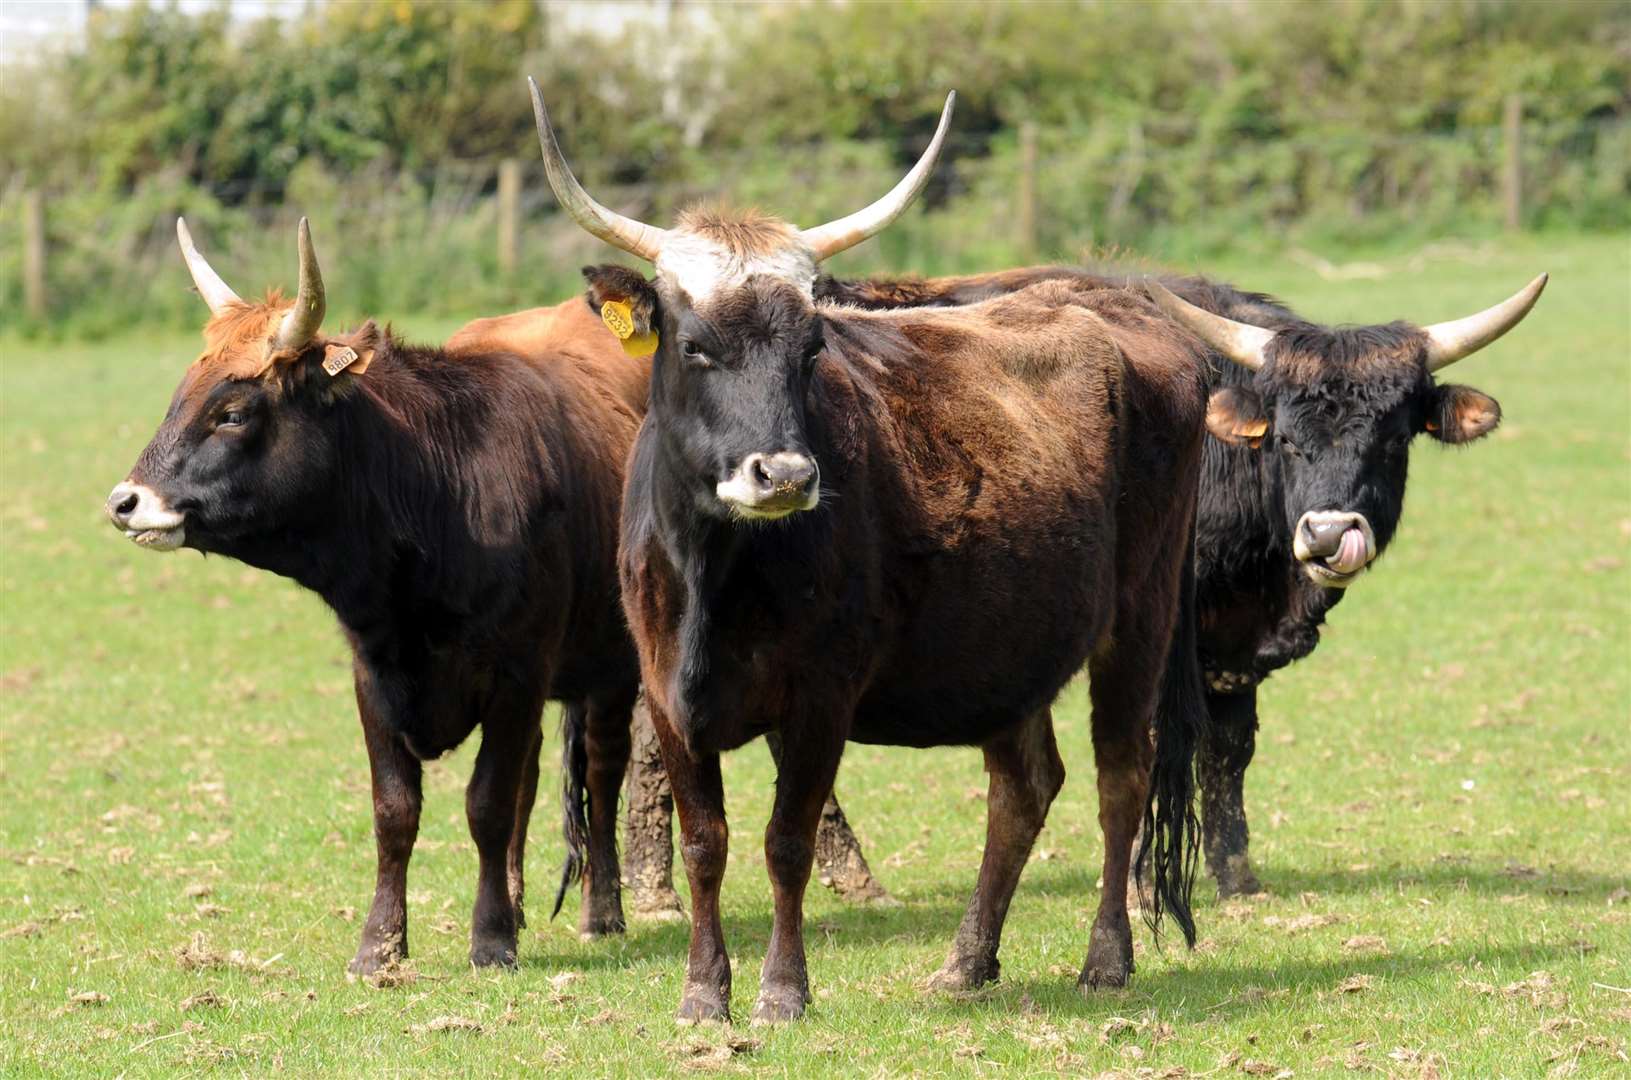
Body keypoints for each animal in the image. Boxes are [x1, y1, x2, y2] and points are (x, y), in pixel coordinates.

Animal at [100, 218, 649, 972]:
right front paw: (380, 945)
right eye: (180, 396)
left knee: (601, 770)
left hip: (613, 667)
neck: (442, 488)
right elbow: (396, 811)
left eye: (233, 411)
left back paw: (602, 911)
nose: (125, 502)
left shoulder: (517, 673)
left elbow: (486, 803)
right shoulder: (374, 676)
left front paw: (490, 941)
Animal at [525, 82, 1213, 1024]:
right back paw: (967, 960)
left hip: (1140, 617)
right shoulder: (666, 695)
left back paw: (1104, 958)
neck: (715, 572)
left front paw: (782, 991)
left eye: (811, 348)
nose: (782, 473)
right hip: (1011, 644)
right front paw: (703, 994)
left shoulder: (821, 695)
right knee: (1025, 786)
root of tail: (1121, 304)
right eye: (693, 345)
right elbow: (707, 843)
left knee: (1121, 775)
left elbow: (786, 840)